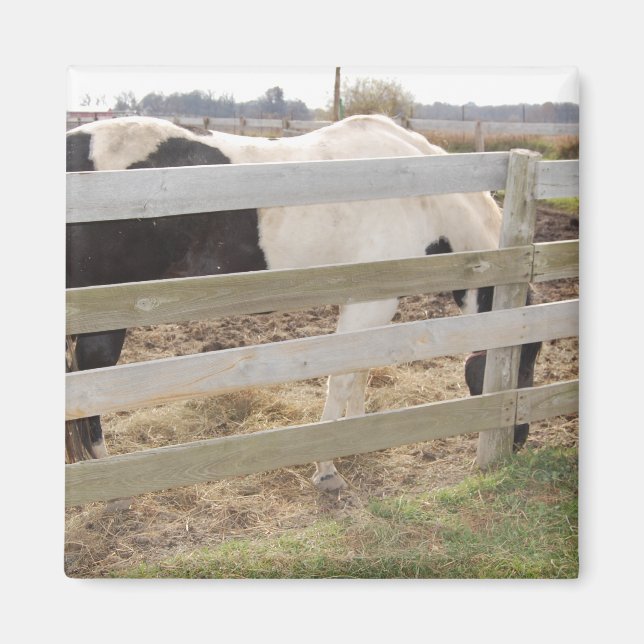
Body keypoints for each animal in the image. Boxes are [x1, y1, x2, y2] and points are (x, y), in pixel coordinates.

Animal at [66, 114, 540, 492]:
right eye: (522, 364)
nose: (519, 441)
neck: (421, 196)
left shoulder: (375, 303)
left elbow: (361, 370)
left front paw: (359, 438)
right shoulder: (368, 303)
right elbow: (343, 377)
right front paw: (326, 468)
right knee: (91, 381)